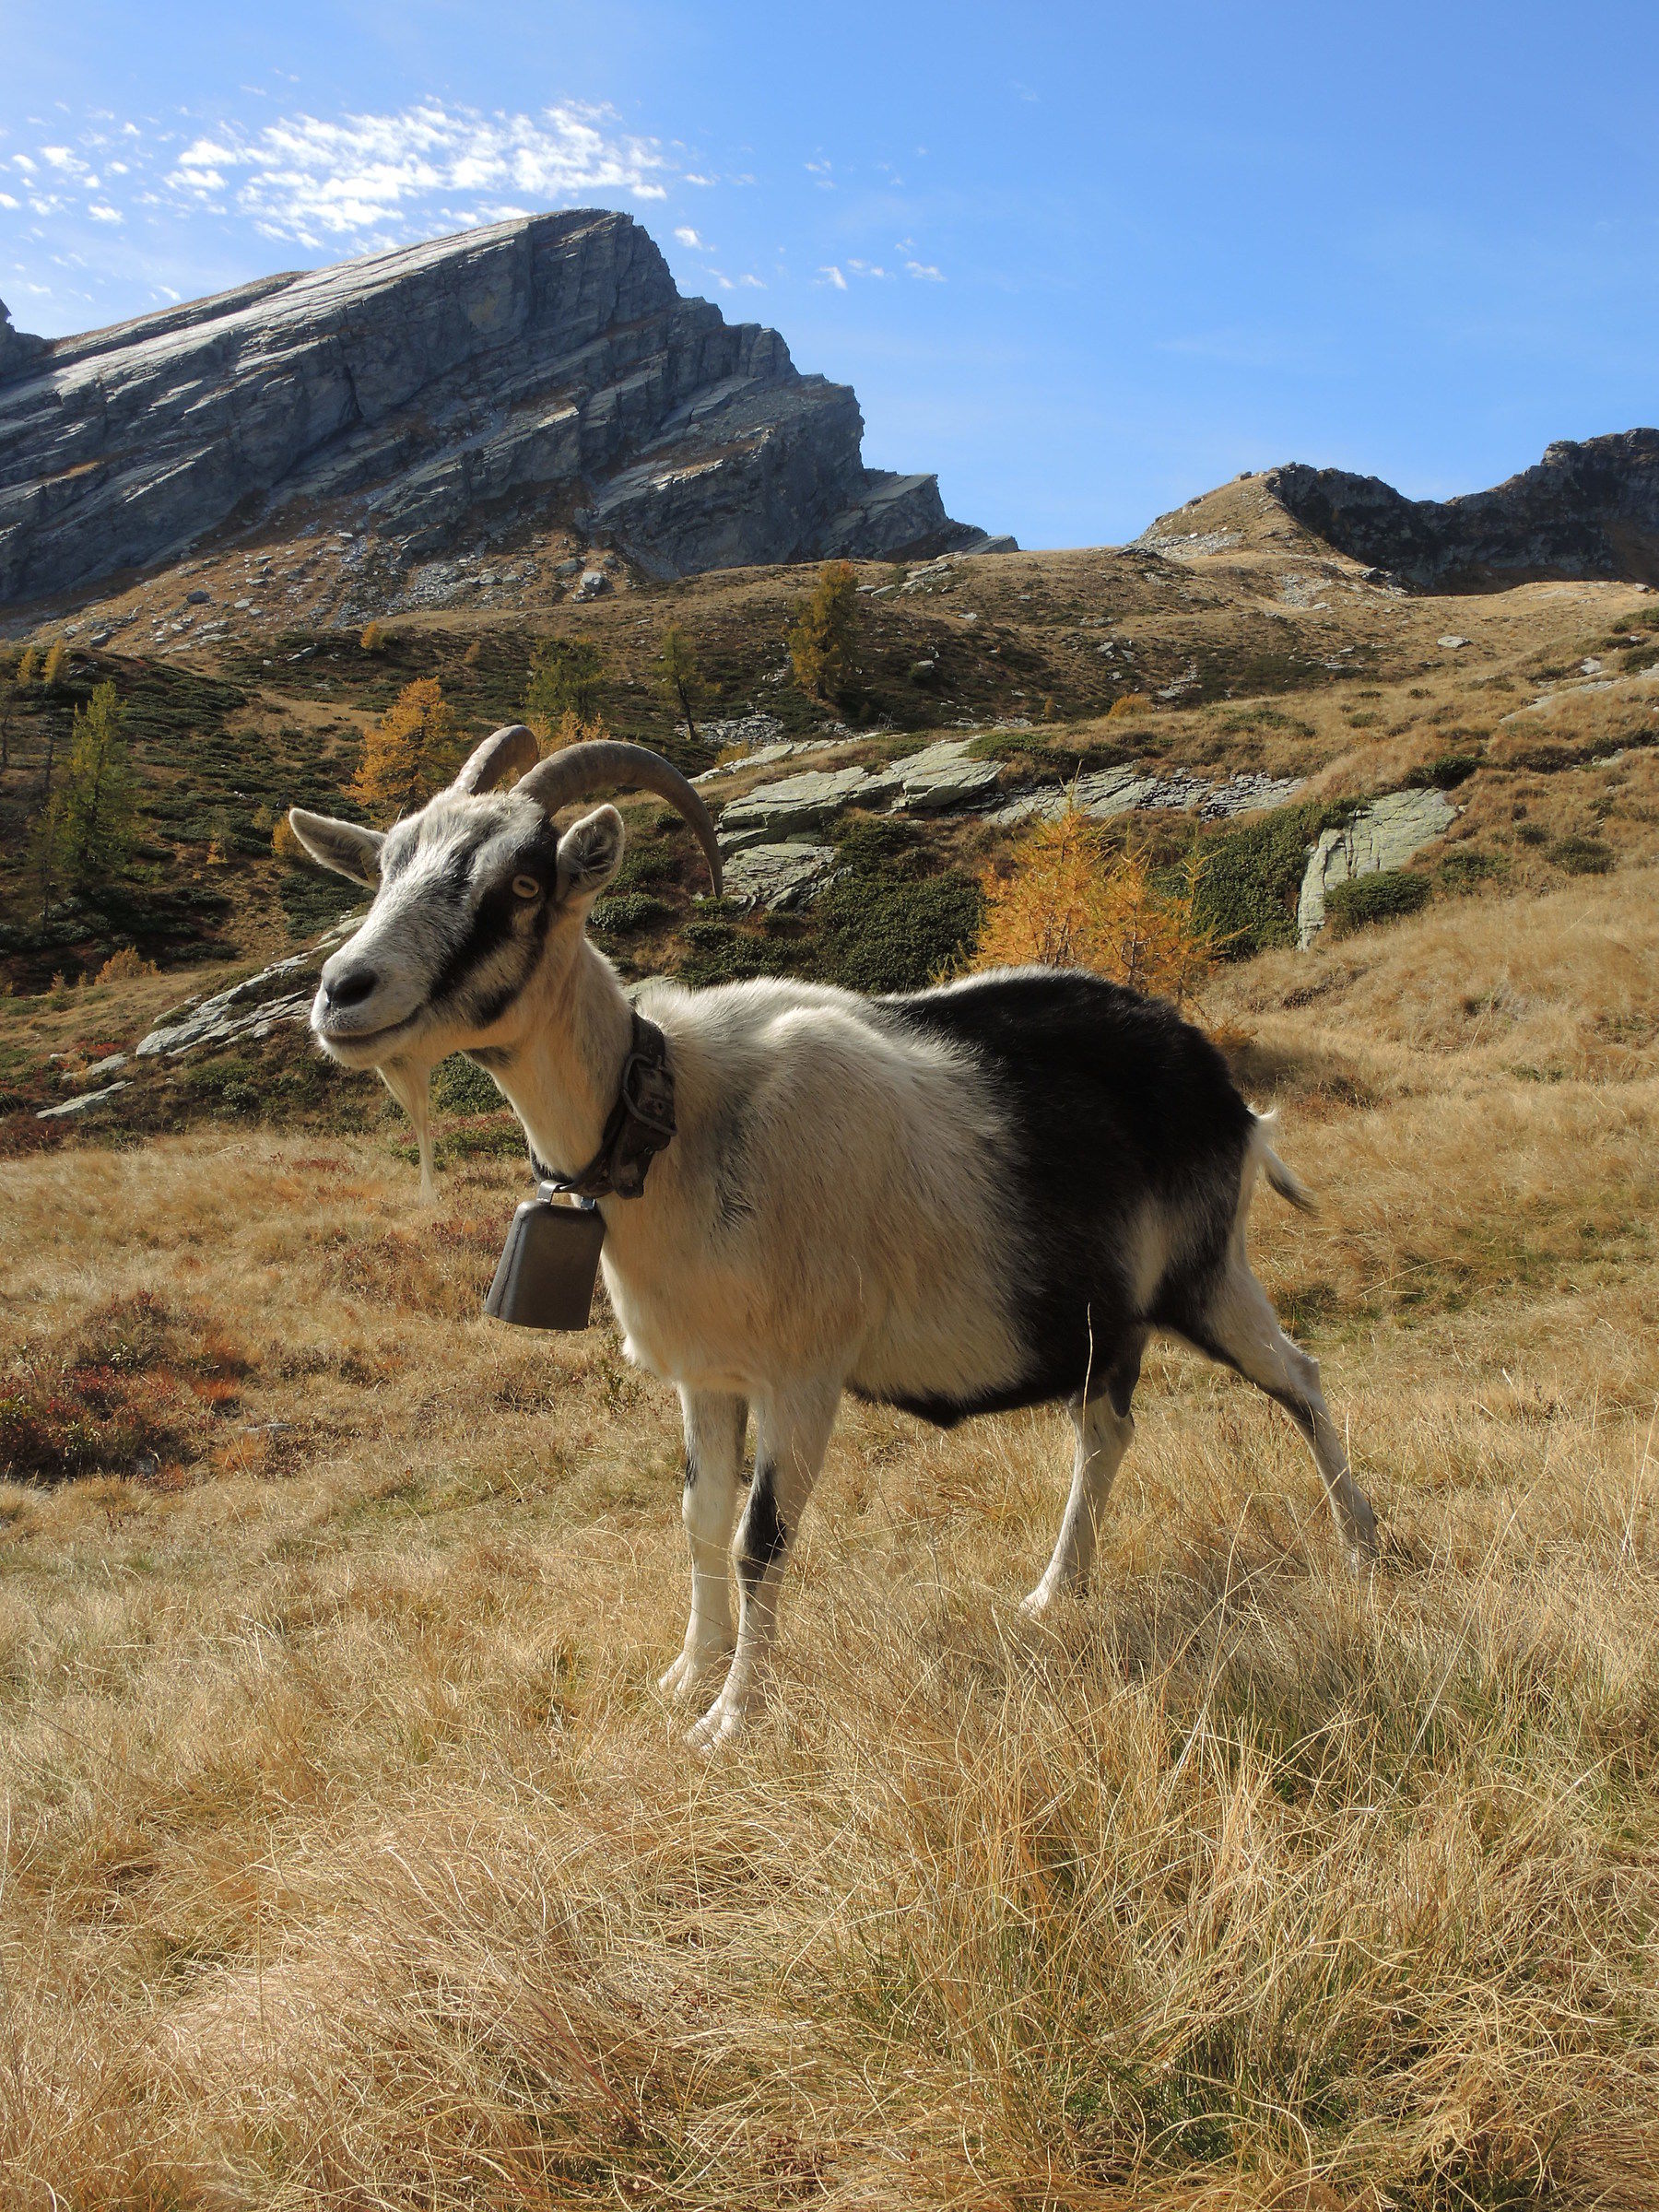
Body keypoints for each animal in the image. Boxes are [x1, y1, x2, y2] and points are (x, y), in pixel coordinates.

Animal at [290, 727, 1378, 1749]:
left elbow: (760, 1539)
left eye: (522, 882)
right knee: (1107, 1432)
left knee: (1302, 1379)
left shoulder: (803, 1374)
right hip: (1105, 1318)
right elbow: (698, 1522)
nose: (344, 992)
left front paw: (732, 1718)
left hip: (1207, 1273)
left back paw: (1364, 1549)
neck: (677, 1118)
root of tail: (1223, 1089)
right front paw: (685, 1677)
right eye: (385, 865)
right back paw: (1052, 1594)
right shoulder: (709, 1375)